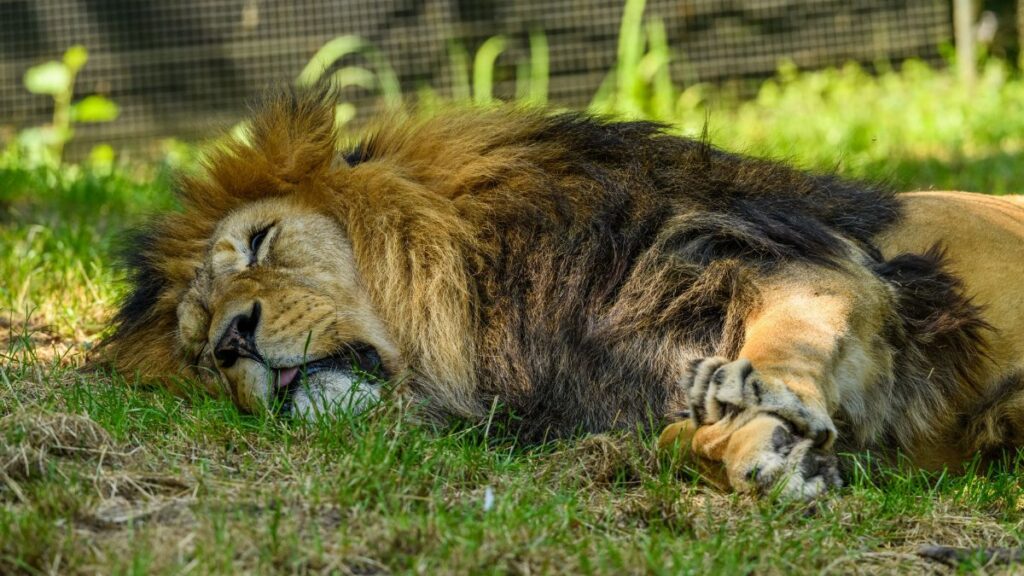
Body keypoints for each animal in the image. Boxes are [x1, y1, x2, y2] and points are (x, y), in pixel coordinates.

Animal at [101, 87, 1024, 499]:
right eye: (198, 351)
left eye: (261, 241)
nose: (233, 340)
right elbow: (672, 437)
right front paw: (754, 451)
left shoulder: (797, 259)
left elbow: (790, 335)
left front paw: (758, 404)